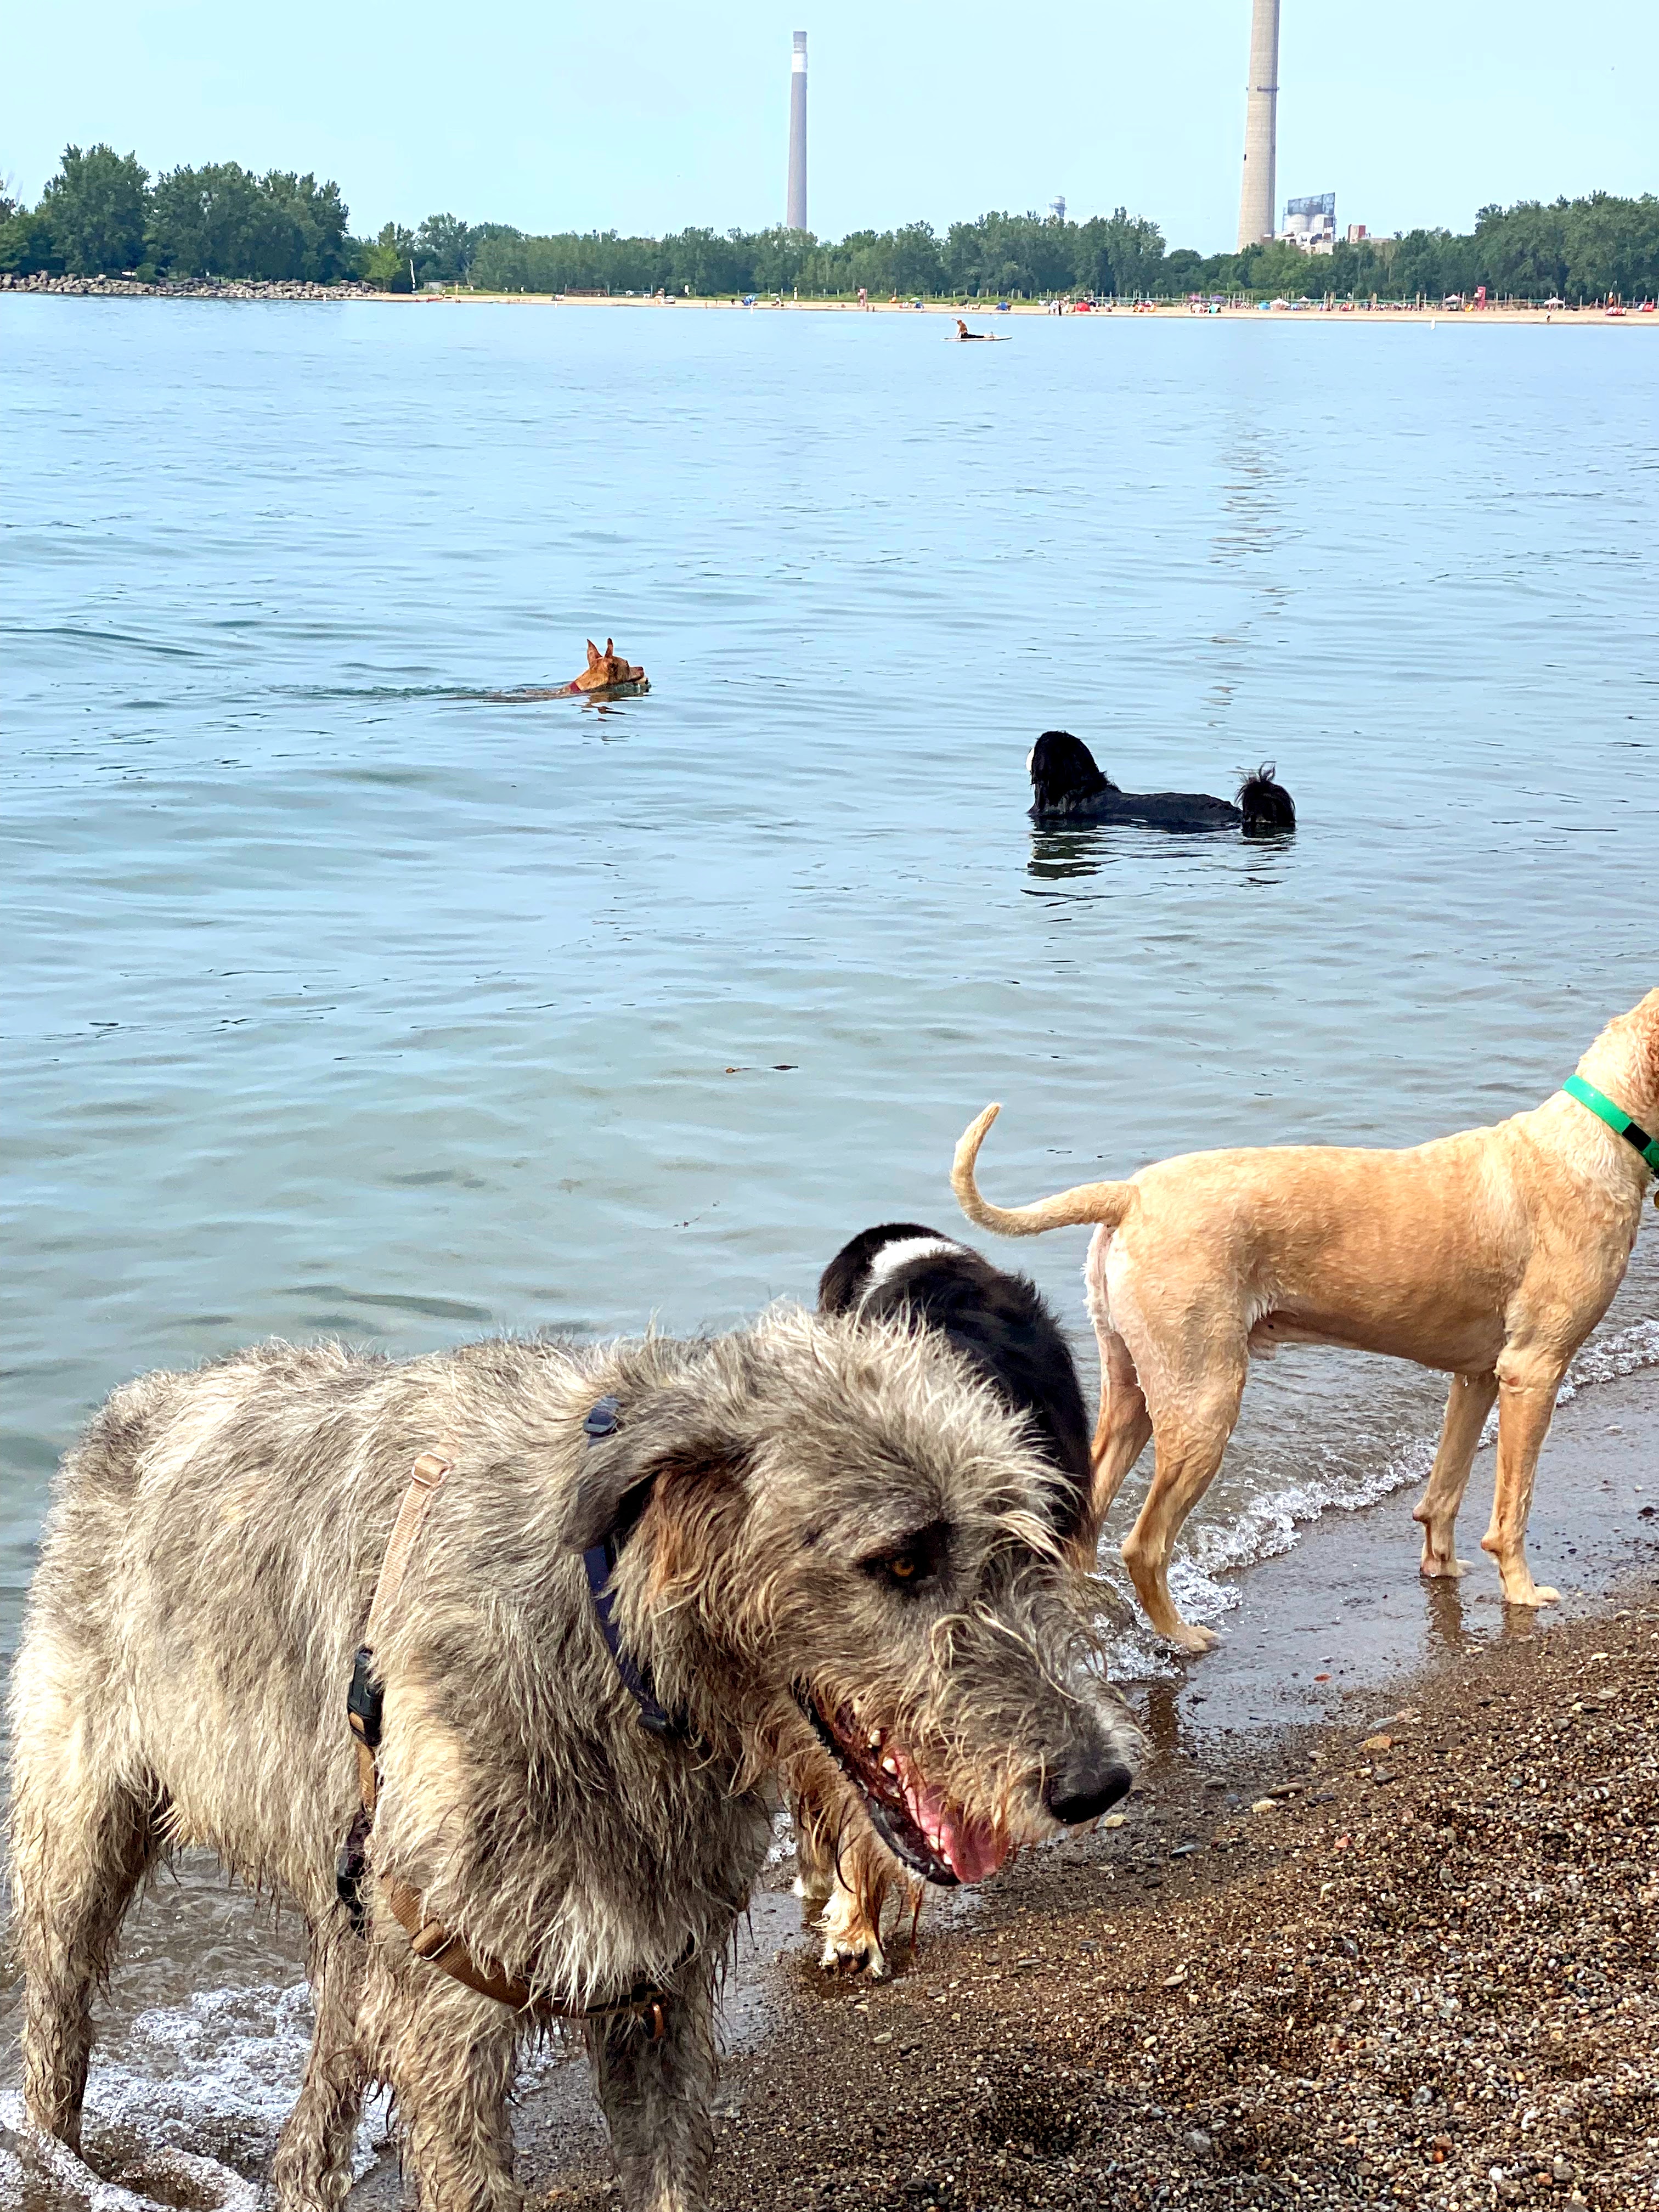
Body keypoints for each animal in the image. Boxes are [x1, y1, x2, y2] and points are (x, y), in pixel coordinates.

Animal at [9, 1309, 1141, 2212]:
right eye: (900, 1561)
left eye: (1022, 1545)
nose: (1097, 1782)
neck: (615, 1652)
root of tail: (136, 1403)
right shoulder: (453, 2024)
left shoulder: (658, 1989)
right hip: (83, 1828)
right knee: (59, 2018)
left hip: (356, 1890)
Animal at [955, 995, 1654, 1654]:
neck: (1604, 1132)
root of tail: (1130, 1195)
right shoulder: (1533, 1370)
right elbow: (1514, 1505)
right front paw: (1523, 1592)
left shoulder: (1479, 1376)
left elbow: (1446, 1487)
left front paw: (1443, 1569)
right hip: (1204, 1399)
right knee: (1143, 1544)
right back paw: (1182, 1635)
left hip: (1136, 1388)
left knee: (1086, 1521)